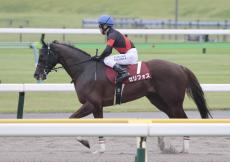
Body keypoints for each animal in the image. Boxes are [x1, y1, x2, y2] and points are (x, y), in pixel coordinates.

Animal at [33, 34, 212, 154]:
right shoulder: (97, 106)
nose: (37, 75)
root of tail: (180, 67)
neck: (85, 69)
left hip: (173, 102)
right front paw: (100, 149)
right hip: (159, 101)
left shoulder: (91, 104)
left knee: (183, 119)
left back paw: (184, 148)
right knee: (174, 119)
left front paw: (85, 141)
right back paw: (165, 145)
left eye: (42, 56)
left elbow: (71, 119)